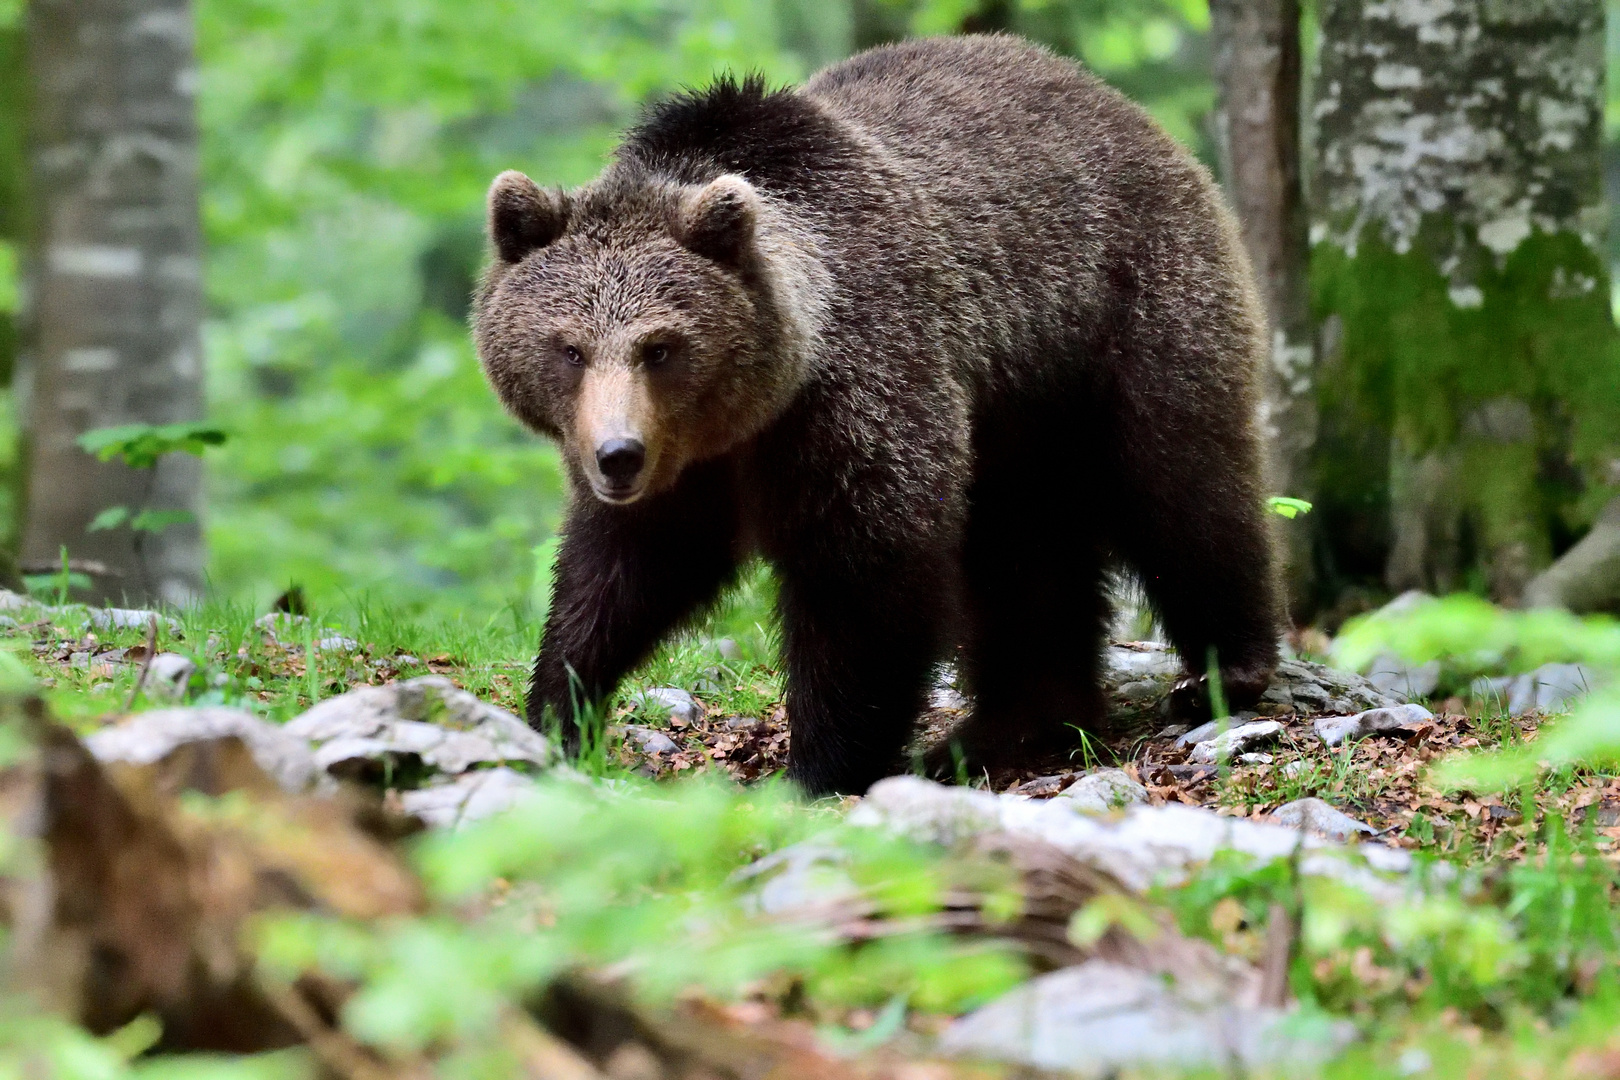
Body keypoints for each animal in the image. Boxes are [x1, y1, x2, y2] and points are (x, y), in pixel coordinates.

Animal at [473, 33, 1283, 799]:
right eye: (570, 347)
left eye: (661, 346)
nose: (617, 455)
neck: (759, 408)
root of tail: (1117, 103)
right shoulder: (689, 469)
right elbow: (620, 576)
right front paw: (558, 711)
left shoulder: (859, 392)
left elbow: (865, 578)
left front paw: (820, 767)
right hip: (1018, 411)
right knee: (1027, 549)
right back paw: (1014, 726)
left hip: (1124, 314)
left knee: (1180, 483)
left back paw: (1222, 671)